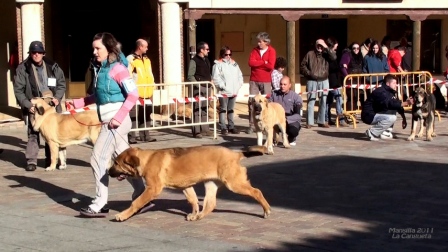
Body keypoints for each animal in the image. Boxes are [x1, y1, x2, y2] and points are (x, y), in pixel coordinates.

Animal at [108, 145, 270, 221]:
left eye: (116, 163)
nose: (108, 172)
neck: (146, 159)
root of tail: (236, 154)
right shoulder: (186, 186)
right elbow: (193, 200)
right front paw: (194, 213)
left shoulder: (153, 188)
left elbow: (136, 202)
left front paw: (123, 215)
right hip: (211, 183)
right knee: (210, 204)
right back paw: (199, 216)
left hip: (234, 183)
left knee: (257, 191)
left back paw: (267, 210)